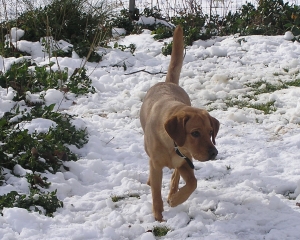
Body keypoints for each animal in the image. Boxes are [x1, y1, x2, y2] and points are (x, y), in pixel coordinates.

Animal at [139, 24, 219, 221]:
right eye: (195, 133)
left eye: (211, 132)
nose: (214, 153)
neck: (172, 144)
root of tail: (168, 82)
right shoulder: (156, 165)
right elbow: (156, 193)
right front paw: (158, 217)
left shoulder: (185, 161)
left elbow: (193, 183)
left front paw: (175, 200)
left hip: (185, 160)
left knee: (175, 175)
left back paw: (173, 192)